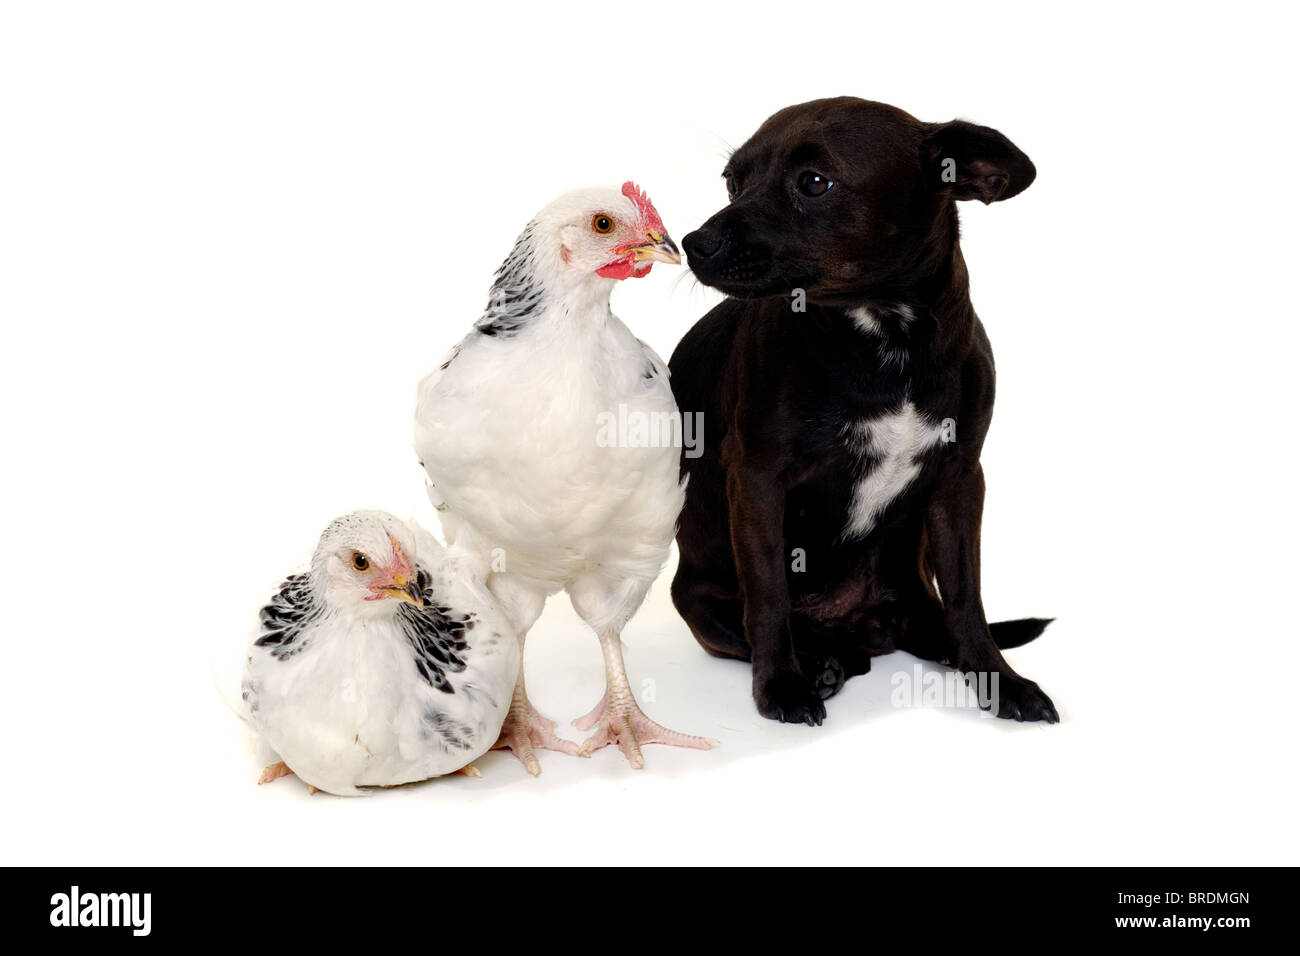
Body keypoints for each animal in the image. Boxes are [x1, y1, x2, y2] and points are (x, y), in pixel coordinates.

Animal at [670, 97, 1055, 723]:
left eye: (814, 183)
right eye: (733, 181)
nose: (695, 242)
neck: (883, 339)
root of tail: (857, 627)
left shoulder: (959, 479)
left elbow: (968, 597)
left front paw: (999, 680)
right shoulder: (757, 480)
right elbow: (768, 595)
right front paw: (782, 686)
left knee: (934, 619)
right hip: (699, 602)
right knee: (764, 627)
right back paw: (819, 663)